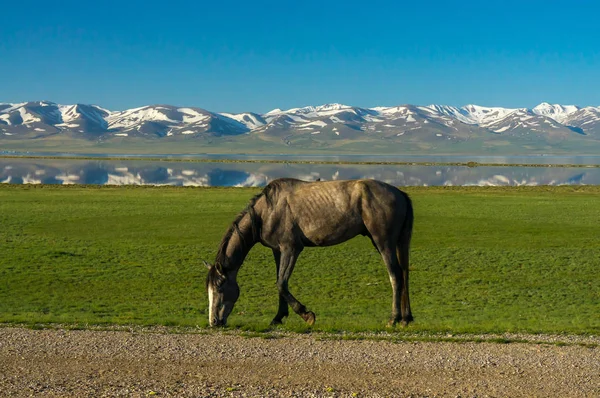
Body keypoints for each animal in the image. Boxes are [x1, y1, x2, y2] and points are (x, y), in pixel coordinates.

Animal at [206, 179, 412, 328]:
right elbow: (279, 282)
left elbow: (282, 283)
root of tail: (400, 193)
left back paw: (394, 318)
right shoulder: (277, 250)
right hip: (398, 243)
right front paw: (278, 317)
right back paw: (406, 318)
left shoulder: (291, 249)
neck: (266, 212)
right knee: (404, 274)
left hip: (383, 242)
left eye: (219, 286)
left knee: (395, 276)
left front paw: (307, 315)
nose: (214, 322)